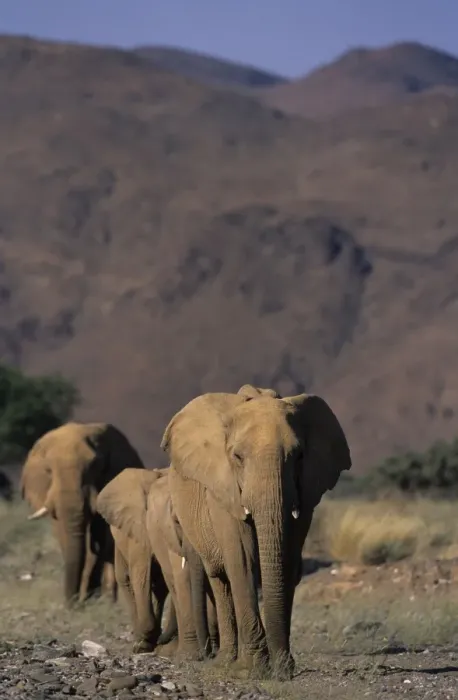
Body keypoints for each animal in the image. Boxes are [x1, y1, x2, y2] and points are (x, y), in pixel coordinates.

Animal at [20, 421, 145, 606]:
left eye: (94, 465)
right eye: (48, 470)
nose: (73, 604)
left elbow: (103, 536)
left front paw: (101, 599)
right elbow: (64, 534)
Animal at [96, 466, 219, 660]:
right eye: (176, 521)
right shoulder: (139, 527)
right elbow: (140, 575)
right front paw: (145, 643)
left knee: (159, 586)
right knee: (126, 579)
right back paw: (142, 640)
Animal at [161, 384, 351, 679]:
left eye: (299, 456)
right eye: (237, 457)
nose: (283, 670)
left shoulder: (306, 491)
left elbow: (288, 562)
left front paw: (282, 668)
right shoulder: (222, 490)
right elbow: (241, 561)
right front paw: (251, 670)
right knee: (220, 579)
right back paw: (226, 662)